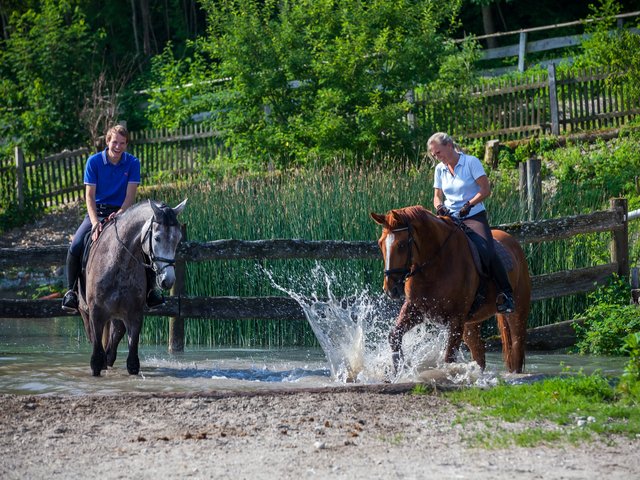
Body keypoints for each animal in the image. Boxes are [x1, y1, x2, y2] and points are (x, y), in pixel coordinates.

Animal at [78, 198, 186, 376]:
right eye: (157, 238)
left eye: (178, 239)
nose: (168, 280)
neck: (118, 262)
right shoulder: (96, 314)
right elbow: (96, 361)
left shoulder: (134, 315)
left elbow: (133, 363)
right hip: (87, 314)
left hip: (118, 319)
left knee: (111, 351)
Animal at [370, 206, 528, 376]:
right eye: (380, 244)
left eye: (401, 245)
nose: (390, 289)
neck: (435, 266)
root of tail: (512, 241)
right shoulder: (415, 309)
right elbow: (394, 336)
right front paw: (400, 370)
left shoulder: (456, 320)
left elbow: (448, 358)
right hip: (470, 324)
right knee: (479, 353)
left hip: (517, 312)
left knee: (517, 347)